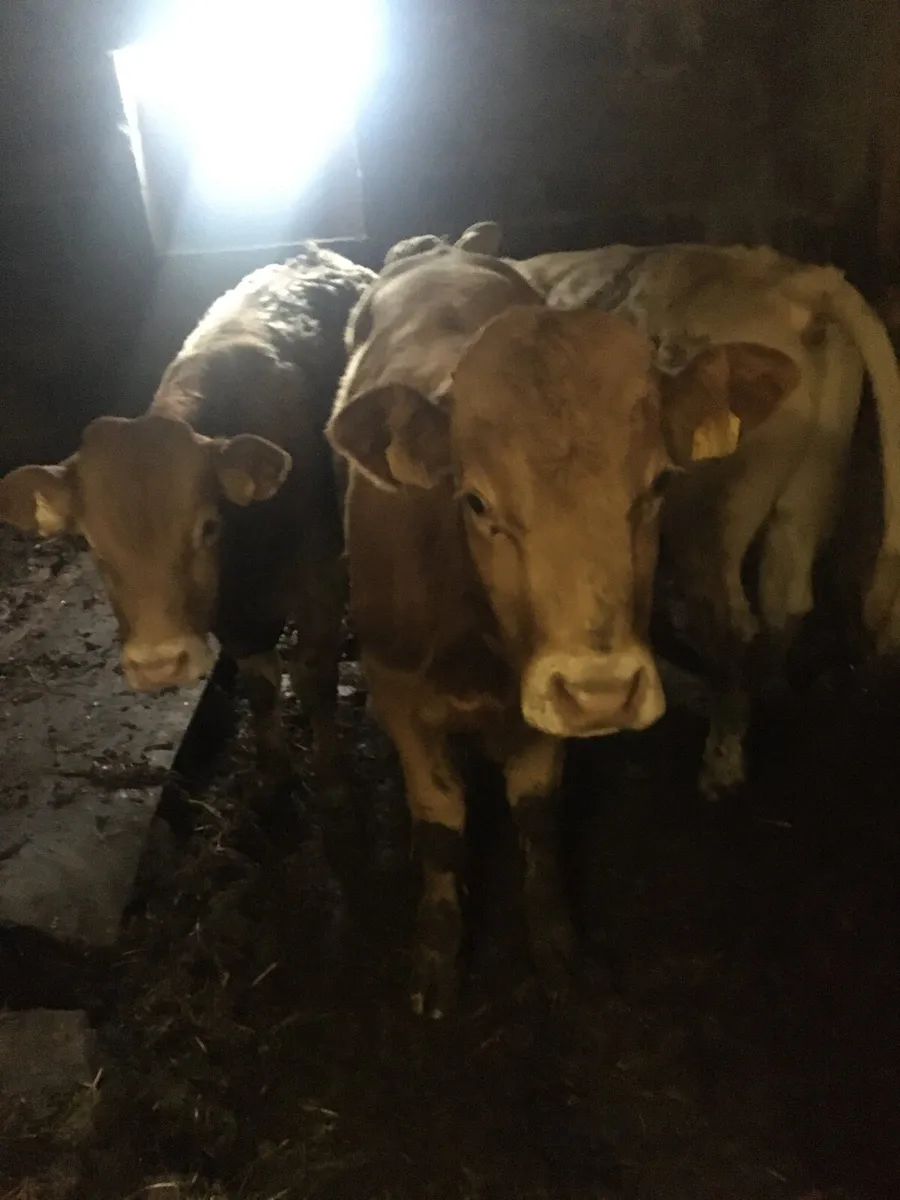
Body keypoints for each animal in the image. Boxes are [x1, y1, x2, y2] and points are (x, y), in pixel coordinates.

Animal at [0, 244, 376, 779]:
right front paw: (273, 770)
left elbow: (314, 673)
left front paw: (330, 769)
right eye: (91, 543)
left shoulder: (322, 578)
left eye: (208, 527)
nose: (159, 665)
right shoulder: (234, 614)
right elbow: (261, 681)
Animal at [326, 229, 798, 1015]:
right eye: (476, 501)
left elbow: (538, 816)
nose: (601, 691)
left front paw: (556, 945)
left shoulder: (546, 710)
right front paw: (437, 953)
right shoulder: (396, 692)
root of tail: (443, 249)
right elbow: (439, 823)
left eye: (659, 483)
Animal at [514, 242, 900, 797]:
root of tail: (793, 279)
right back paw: (768, 696)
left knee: (729, 620)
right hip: (811, 482)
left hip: (709, 511)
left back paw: (721, 761)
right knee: (785, 596)